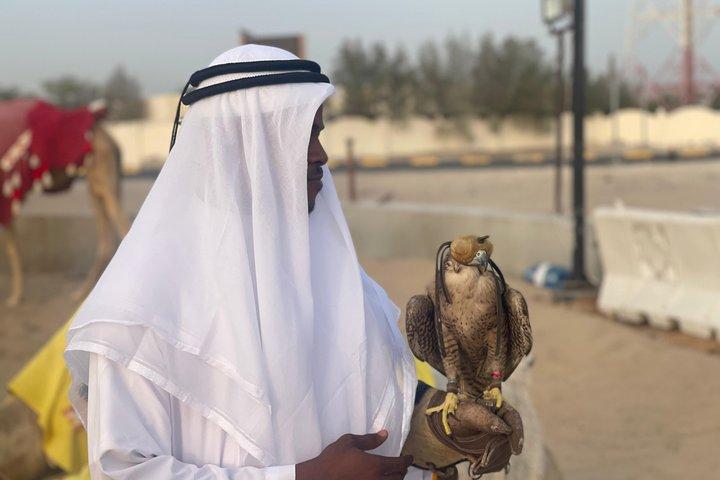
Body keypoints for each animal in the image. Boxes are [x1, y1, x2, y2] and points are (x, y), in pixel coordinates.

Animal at [2, 120, 129, 306]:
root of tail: (113, 141)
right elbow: (14, 248)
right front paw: (16, 296)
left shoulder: (5, 199)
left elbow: (12, 250)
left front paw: (14, 298)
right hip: (96, 188)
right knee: (107, 239)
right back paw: (82, 293)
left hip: (104, 179)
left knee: (123, 228)